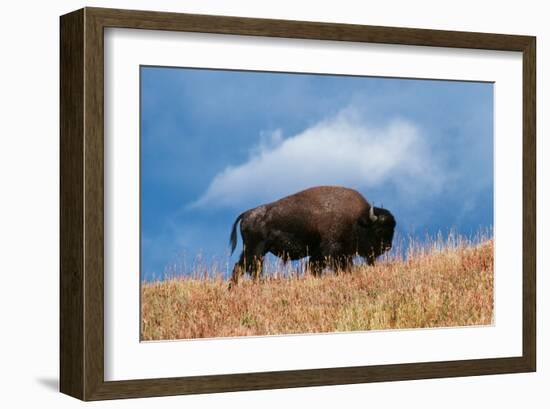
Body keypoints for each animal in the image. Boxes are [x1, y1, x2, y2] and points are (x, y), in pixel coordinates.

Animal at [229, 186, 396, 286]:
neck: (359, 220)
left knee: (242, 267)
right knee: (250, 268)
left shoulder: (331, 254)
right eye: (379, 230)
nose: (387, 247)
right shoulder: (331, 252)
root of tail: (247, 213)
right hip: (256, 250)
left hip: (254, 251)